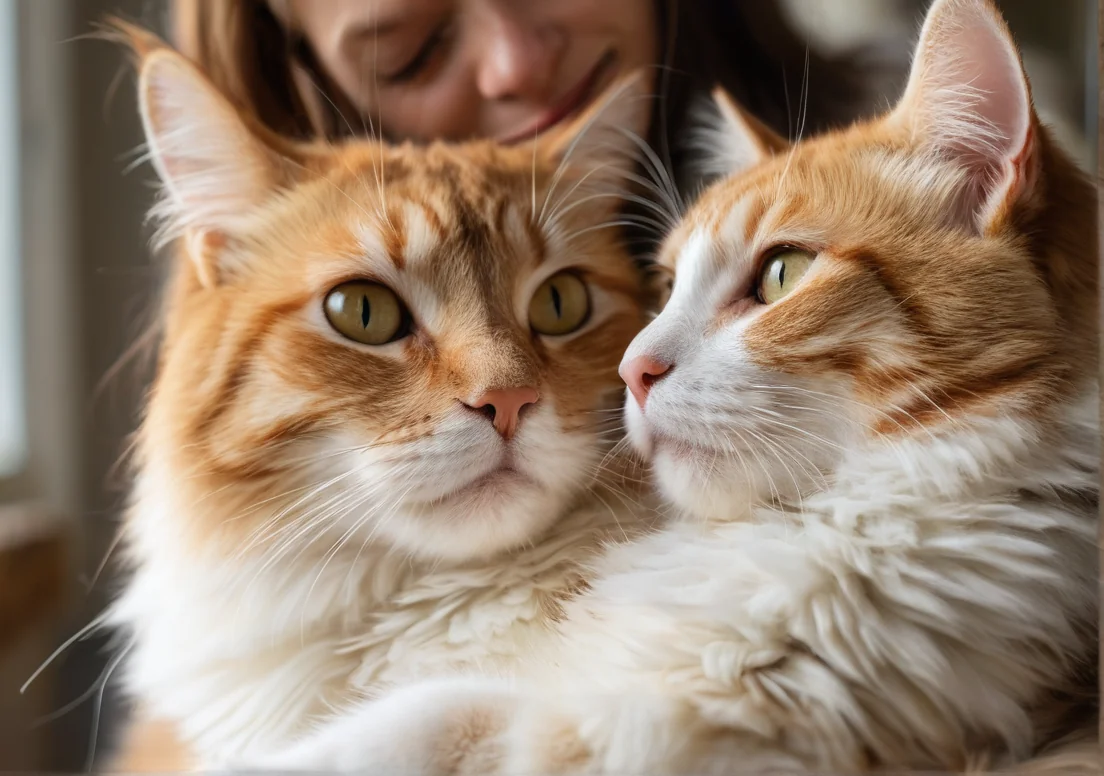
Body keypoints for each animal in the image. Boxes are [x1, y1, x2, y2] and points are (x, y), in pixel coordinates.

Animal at [246, 3, 1099, 772]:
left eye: (782, 274)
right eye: (666, 286)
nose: (634, 368)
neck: (808, 529)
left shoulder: (676, 730)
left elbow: (435, 711)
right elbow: (438, 713)